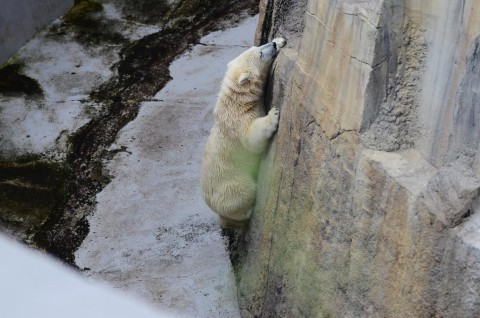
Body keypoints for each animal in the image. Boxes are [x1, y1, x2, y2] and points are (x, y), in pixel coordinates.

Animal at [199, 37, 284, 227]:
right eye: (260, 53)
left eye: (258, 46)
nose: (273, 45)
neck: (237, 100)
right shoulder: (238, 121)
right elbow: (251, 138)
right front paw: (273, 114)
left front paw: (281, 40)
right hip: (231, 186)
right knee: (245, 193)